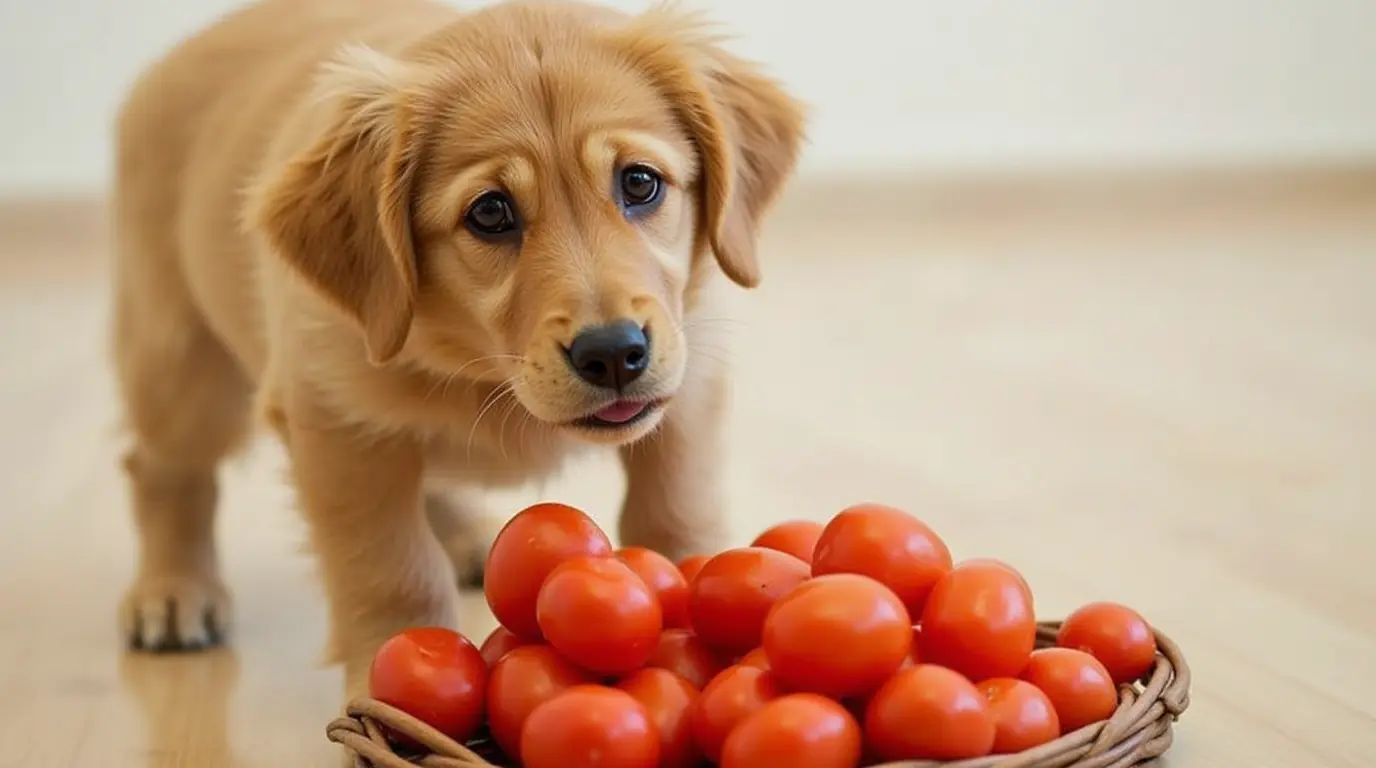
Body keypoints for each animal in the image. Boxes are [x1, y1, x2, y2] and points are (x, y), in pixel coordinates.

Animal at [112, 0, 809, 704]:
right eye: (491, 213)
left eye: (640, 183)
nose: (614, 353)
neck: (478, 366)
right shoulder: (337, 422)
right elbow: (390, 565)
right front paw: (386, 692)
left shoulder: (687, 383)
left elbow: (673, 508)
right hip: (185, 367)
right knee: (161, 468)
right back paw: (174, 591)